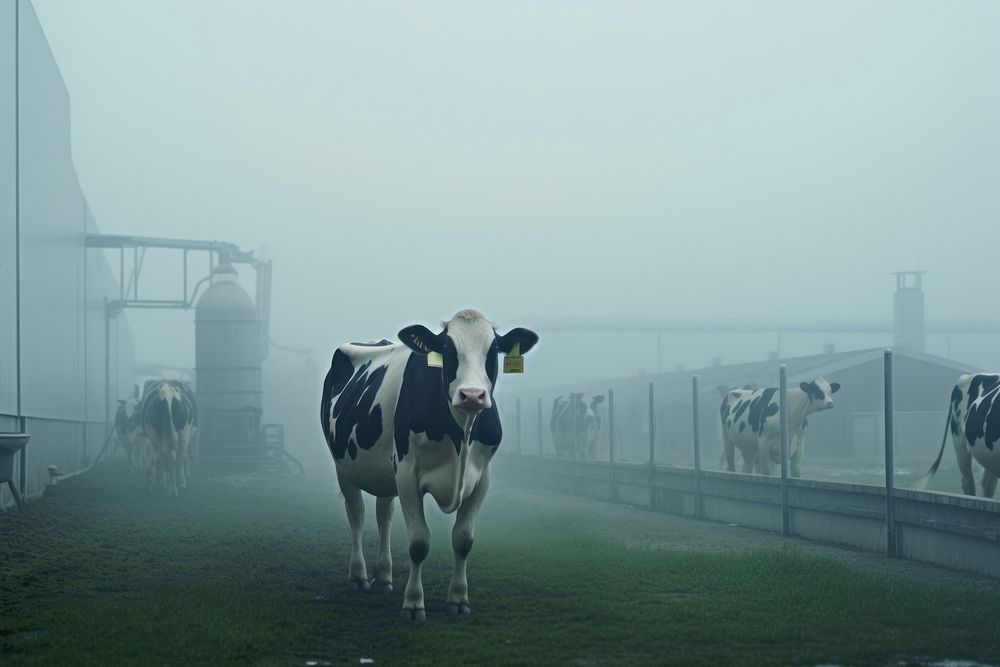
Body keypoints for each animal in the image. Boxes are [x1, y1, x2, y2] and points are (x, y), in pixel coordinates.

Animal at [320, 310, 540, 620]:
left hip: (385, 474)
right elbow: (419, 543)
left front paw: (458, 599)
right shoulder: (407, 472)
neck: (460, 435)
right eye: (447, 349)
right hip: (344, 468)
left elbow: (463, 540)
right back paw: (359, 576)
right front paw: (413, 603)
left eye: (494, 349)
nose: (472, 395)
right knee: (357, 516)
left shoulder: (482, 478)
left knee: (383, 516)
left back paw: (383, 577)